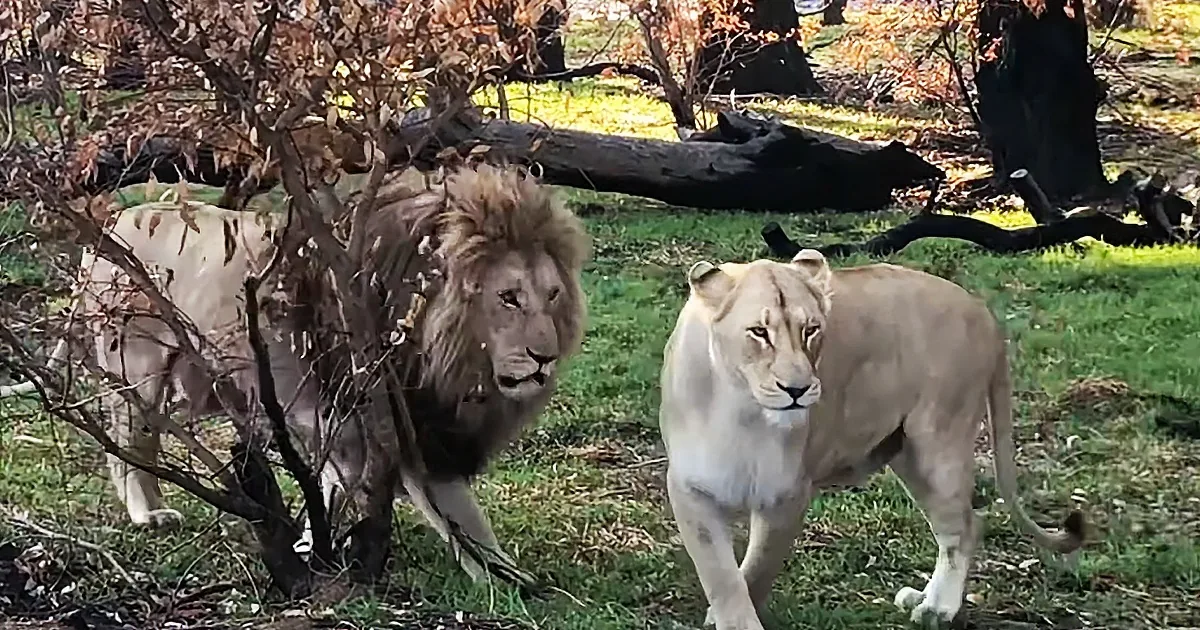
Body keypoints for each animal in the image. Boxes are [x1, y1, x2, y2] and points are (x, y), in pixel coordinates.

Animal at [8, 163, 590, 581]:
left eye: (552, 295)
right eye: (509, 297)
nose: (545, 358)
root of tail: (109, 228)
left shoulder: (388, 427)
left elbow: (350, 491)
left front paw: (315, 545)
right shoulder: (371, 419)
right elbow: (459, 519)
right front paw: (505, 583)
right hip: (139, 367)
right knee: (128, 446)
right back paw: (145, 515)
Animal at [658, 249, 1084, 630]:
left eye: (811, 330)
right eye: (759, 332)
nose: (797, 390)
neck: (742, 407)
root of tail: (983, 311)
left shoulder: (786, 494)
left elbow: (756, 571)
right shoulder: (692, 490)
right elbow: (723, 578)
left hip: (939, 446)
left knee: (964, 526)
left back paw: (937, 609)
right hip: (909, 458)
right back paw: (924, 598)